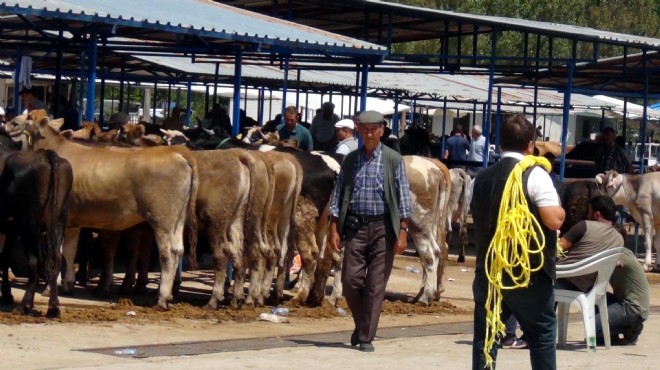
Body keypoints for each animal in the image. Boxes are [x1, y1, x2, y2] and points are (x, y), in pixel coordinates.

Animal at [0, 137, 72, 316]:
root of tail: (45, 154)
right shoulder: (11, 230)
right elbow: (4, 257)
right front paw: (6, 294)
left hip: (30, 226)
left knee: (35, 262)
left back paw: (25, 305)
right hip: (58, 222)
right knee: (55, 260)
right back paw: (53, 306)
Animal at [7, 115, 199, 310]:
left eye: (19, 121)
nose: (7, 123)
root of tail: (177, 154)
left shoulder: (57, 217)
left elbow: (58, 251)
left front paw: (50, 287)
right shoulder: (73, 221)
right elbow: (69, 251)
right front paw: (68, 284)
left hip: (162, 220)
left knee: (167, 253)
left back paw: (162, 299)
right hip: (177, 220)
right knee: (178, 250)